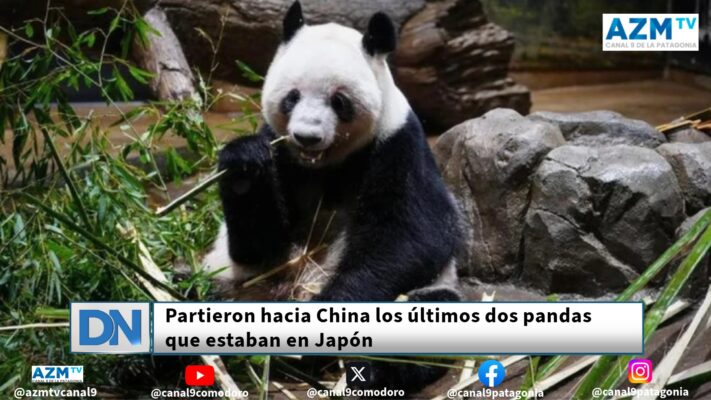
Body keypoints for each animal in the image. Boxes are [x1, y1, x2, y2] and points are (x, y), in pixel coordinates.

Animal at [202, 0, 463, 393]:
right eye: (292, 97)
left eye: (339, 101)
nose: (306, 137)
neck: (324, 164)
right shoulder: (281, 153)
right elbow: (258, 244)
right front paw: (243, 164)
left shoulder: (398, 145)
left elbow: (413, 237)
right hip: (234, 283)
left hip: (428, 292)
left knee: (431, 317)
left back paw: (370, 370)